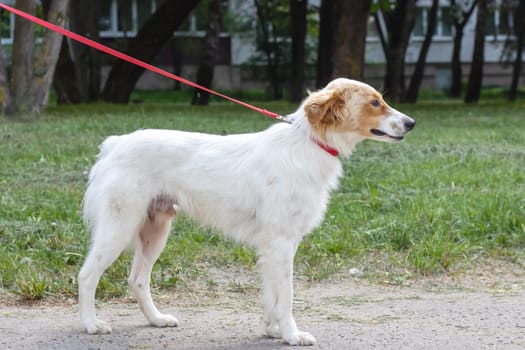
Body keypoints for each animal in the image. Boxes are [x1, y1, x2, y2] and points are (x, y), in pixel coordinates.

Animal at [79, 78, 414, 344]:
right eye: (375, 102)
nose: (411, 123)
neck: (307, 144)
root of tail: (114, 145)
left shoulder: (274, 247)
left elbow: (271, 295)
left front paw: (273, 331)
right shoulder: (281, 243)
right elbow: (287, 296)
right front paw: (292, 335)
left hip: (155, 230)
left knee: (137, 279)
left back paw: (156, 319)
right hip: (118, 227)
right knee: (87, 275)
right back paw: (91, 324)